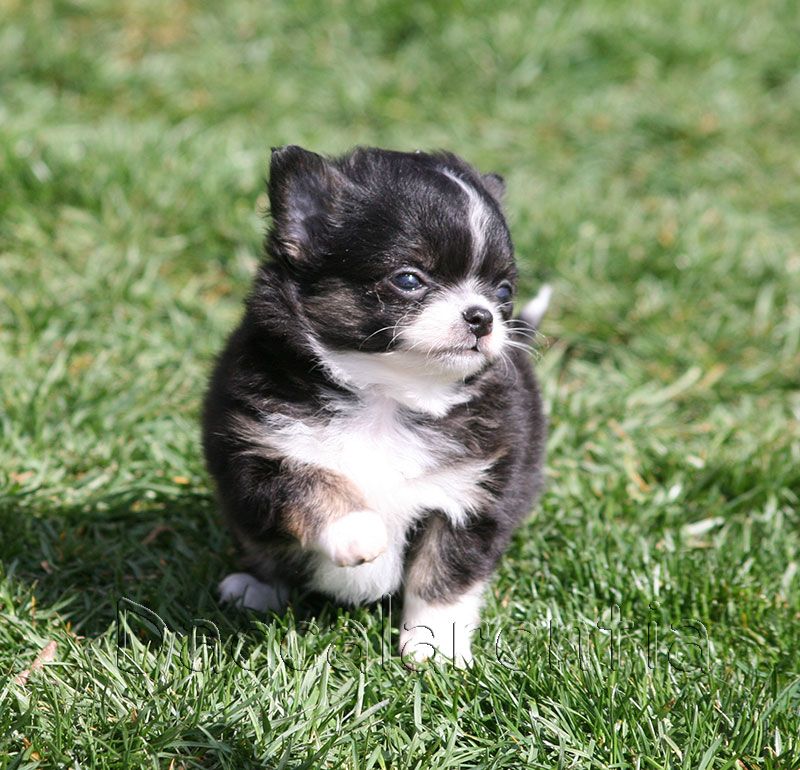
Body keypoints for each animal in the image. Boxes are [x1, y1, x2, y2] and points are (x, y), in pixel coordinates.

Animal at [202, 146, 549, 666]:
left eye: (504, 291)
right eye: (408, 279)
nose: (482, 317)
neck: (387, 394)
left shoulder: (473, 494)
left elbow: (444, 575)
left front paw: (435, 645)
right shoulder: (255, 454)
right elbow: (310, 481)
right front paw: (357, 530)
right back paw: (256, 587)